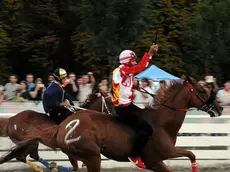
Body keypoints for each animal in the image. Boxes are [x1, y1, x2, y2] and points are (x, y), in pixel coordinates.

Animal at [0, 76, 223, 172]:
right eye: (202, 90)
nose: (219, 108)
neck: (161, 123)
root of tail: (63, 126)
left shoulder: (168, 153)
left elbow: (191, 154)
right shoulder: (154, 161)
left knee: (25, 156)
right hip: (92, 155)